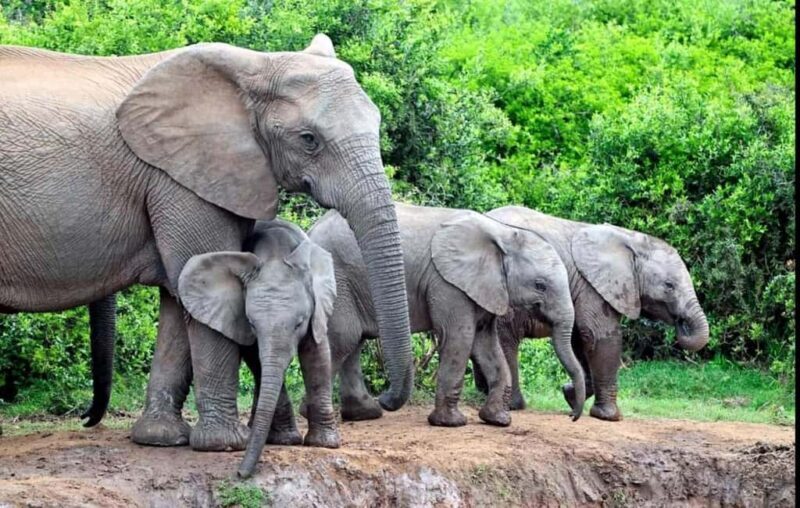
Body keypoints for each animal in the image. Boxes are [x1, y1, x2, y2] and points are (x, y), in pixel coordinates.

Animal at [0, 34, 413, 452]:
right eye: (309, 140)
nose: (386, 400)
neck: (256, 65)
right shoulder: (180, 179)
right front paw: (224, 444)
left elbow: (179, 292)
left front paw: (161, 439)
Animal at [178, 219, 338, 478]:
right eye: (252, 323)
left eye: (299, 323)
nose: (240, 474)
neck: (275, 252)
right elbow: (257, 359)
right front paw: (287, 441)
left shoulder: (318, 306)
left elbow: (317, 356)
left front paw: (325, 444)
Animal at [306, 202, 585, 427]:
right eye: (540, 285)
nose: (572, 417)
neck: (502, 234)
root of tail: (311, 229)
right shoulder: (448, 283)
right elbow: (459, 337)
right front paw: (451, 423)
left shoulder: (484, 288)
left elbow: (486, 344)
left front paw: (497, 420)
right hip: (338, 276)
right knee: (345, 338)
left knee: (353, 341)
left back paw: (366, 413)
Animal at [472, 206, 709, 421]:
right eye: (669, 285)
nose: (681, 324)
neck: (631, 239)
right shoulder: (591, 286)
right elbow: (598, 336)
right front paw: (609, 416)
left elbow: (580, 340)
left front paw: (569, 394)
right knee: (506, 338)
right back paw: (513, 405)